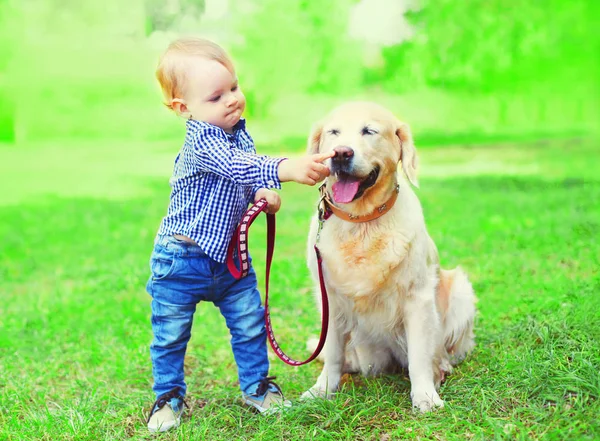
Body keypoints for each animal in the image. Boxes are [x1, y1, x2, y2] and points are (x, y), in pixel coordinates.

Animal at [302, 101, 476, 410]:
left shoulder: (418, 297)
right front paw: (321, 391)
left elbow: (419, 357)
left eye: (369, 131)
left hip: (460, 291)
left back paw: (441, 368)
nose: (342, 153)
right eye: (334, 132)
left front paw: (425, 396)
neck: (362, 221)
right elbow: (332, 353)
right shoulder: (330, 299)